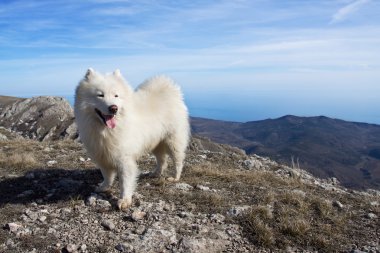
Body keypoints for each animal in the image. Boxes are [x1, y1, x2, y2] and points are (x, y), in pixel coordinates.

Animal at [74, 67, 190, 210]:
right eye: (100, 95)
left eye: (116, 95)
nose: (113, 108)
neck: (106, 131)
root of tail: (172, 92)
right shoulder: (102, 154)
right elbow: (107, 175)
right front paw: (104, 187)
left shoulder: (124, 158)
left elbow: (125, 181)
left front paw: (124, 200)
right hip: (155, 143)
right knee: (162, 160)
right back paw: (156, 173)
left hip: (173, 141)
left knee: (178, 161)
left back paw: (175, 177)